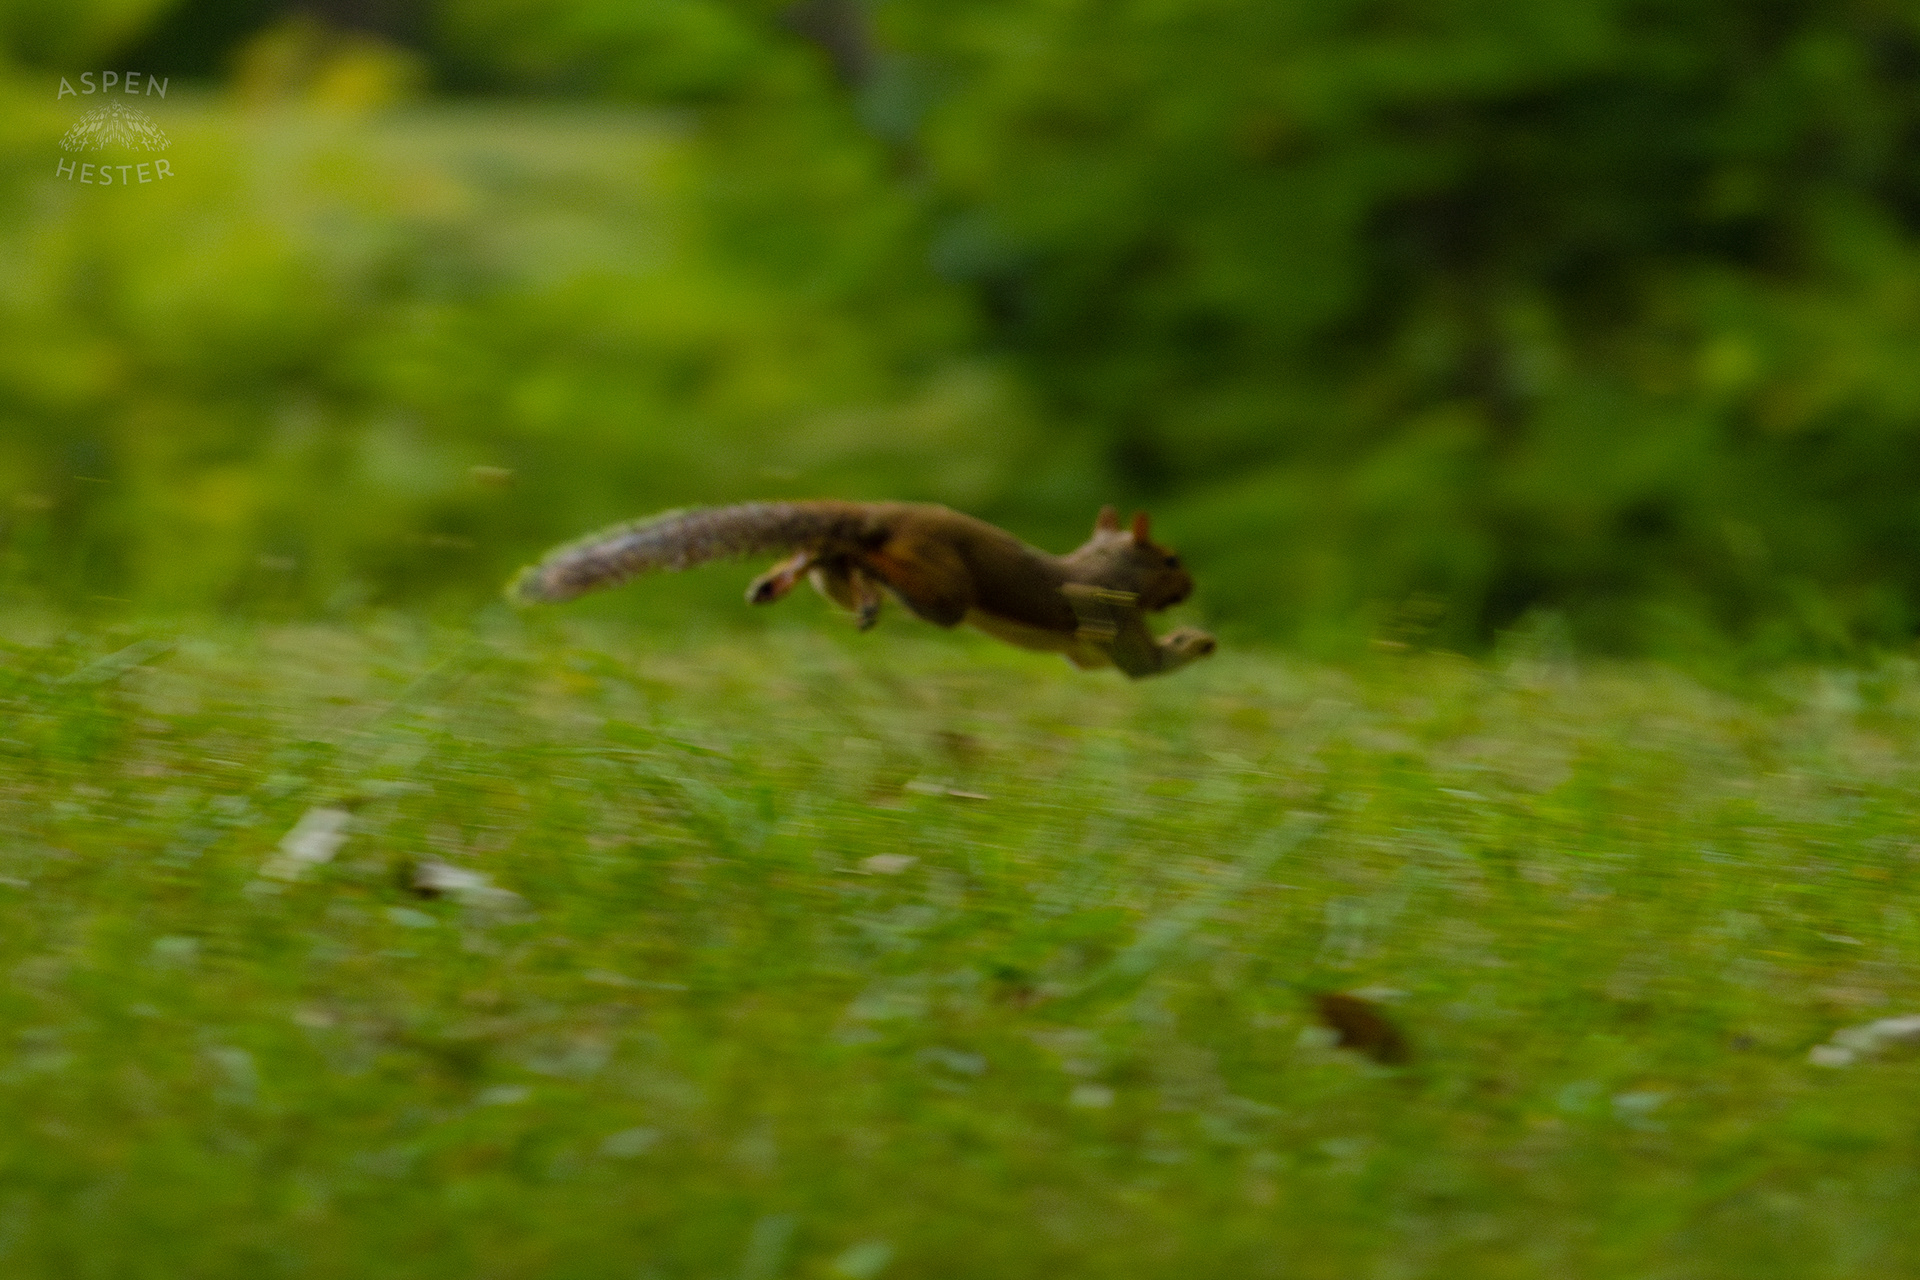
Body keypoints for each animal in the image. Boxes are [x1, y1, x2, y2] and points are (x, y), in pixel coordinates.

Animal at [509, 501, 1216, 678]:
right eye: (1171, 559)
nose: (1190, 585)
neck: (1106, 565)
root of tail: (887, 515)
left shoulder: (1083, 648)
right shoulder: (1112, 616)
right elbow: (1145, 666)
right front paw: (1198, 641)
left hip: (836, 575)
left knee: (827, 555)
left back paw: (778, 578)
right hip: (945, 593)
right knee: (882, 574)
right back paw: (873, 592)